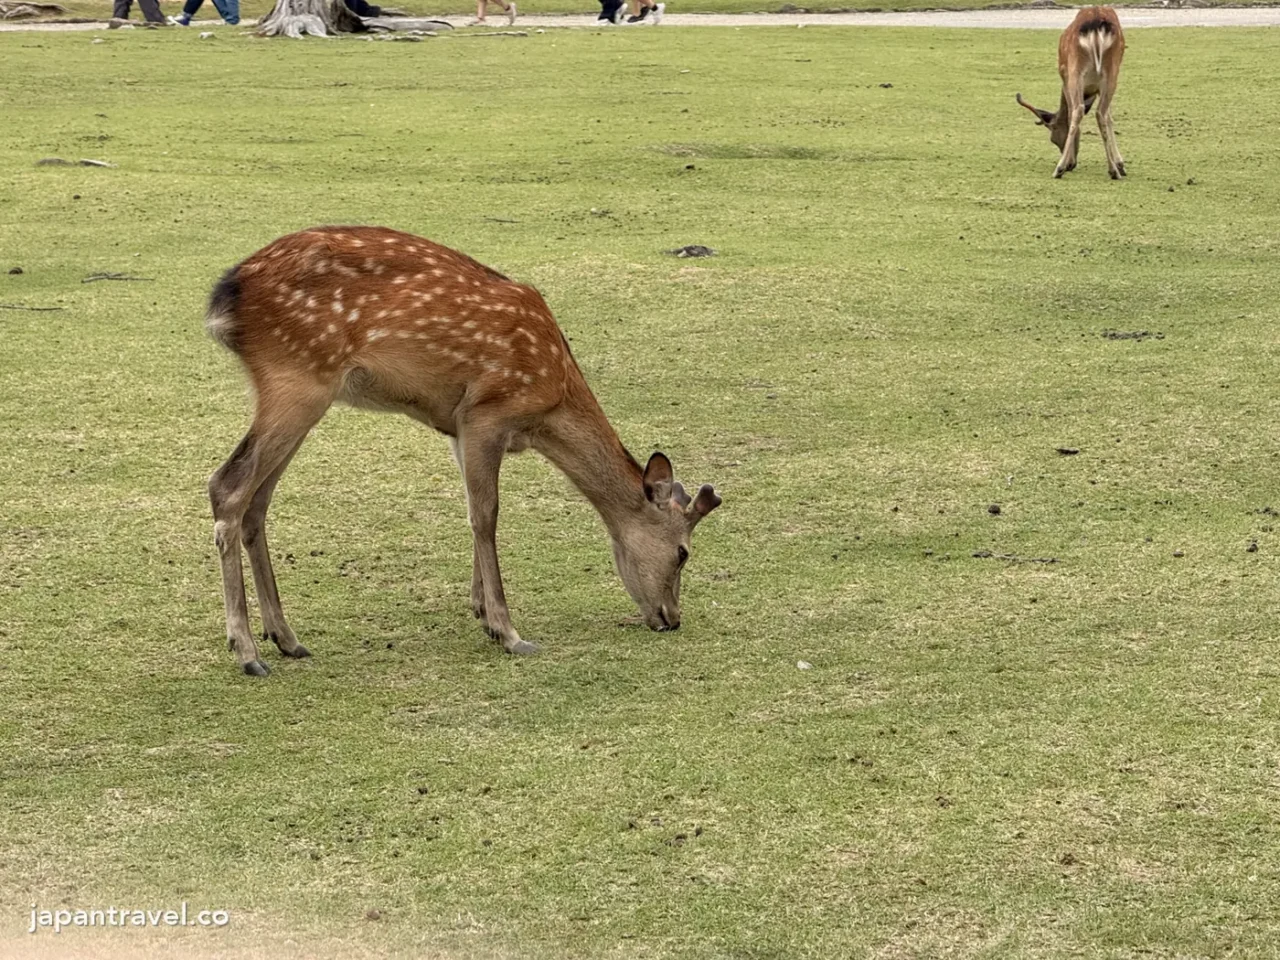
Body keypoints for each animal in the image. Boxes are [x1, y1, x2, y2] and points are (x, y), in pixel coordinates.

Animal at [205, 226, 721, 676]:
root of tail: (225, 295)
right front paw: (509, 632)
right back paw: (247, 651)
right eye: (682, 553)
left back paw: (286, 638)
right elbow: (486, 514)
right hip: (298, 378)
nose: (672, 618)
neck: (550, 403)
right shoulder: (485, 413)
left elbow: (472, 509)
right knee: (227, 485)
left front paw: (481, 612)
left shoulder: (455, 427)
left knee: (257, 501)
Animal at [1016, 6, 1126, 180]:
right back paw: (1114, 170)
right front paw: (1120, 164)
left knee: (1078, 110)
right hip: (1112, 72)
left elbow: (1069, 114)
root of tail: (1096, 23)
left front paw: (1067, 162)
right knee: (1100, 113)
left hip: (1076, 71)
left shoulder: (1065, 78)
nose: (1071, 165)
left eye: (1053, 138)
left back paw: (1059, 169)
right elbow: (1109, 117)